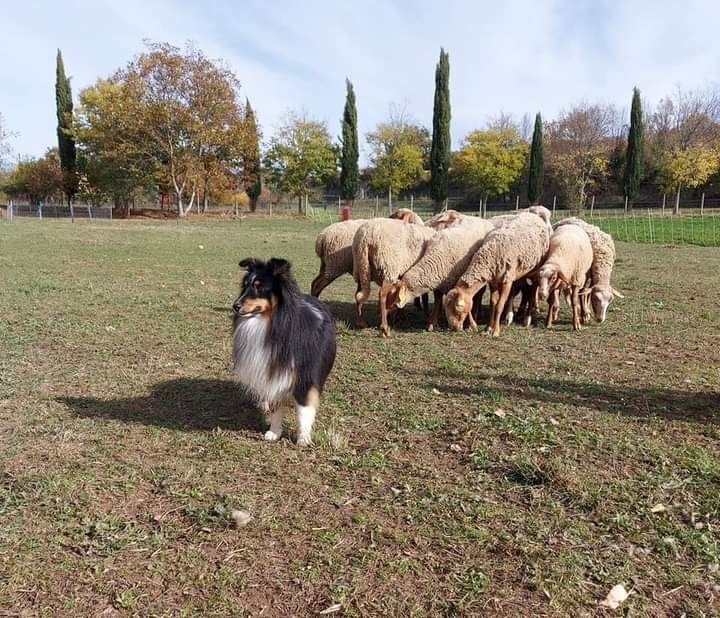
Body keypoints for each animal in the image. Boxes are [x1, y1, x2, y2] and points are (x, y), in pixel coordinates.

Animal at [231, 258, 338, 446]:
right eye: (245, 286)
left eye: (259, 287)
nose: (235, 306)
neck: (272, 324)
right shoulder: (273, 372)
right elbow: (276, 406)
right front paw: (274, 432)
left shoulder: (305, 376)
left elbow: (304, 410)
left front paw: (303, 438)